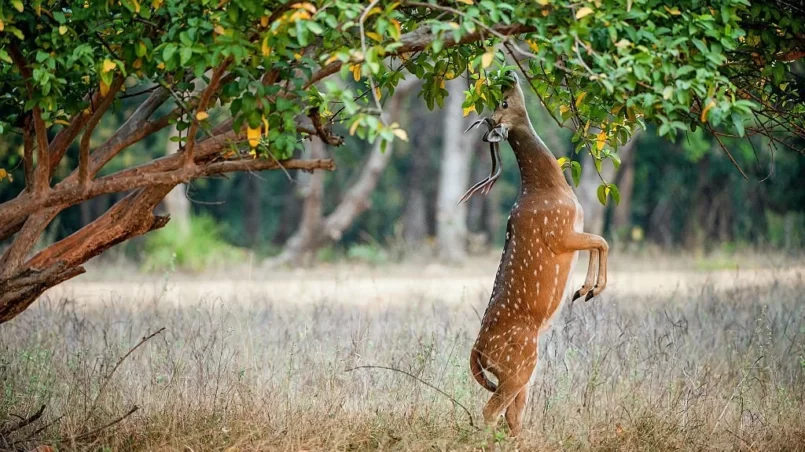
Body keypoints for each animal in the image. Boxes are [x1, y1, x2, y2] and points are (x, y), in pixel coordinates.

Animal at [458, 71, 608, 438]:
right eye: (503, 102)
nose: (508, 75)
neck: (550, 188)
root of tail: (477, 353)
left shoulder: (572, 230)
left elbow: (598, 241)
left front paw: (584, 289)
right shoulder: (559, 232)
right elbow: (601, 240)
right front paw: (590, 289)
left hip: (519, 372)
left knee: (512, 416)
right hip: (520, 364)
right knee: (491, 411)